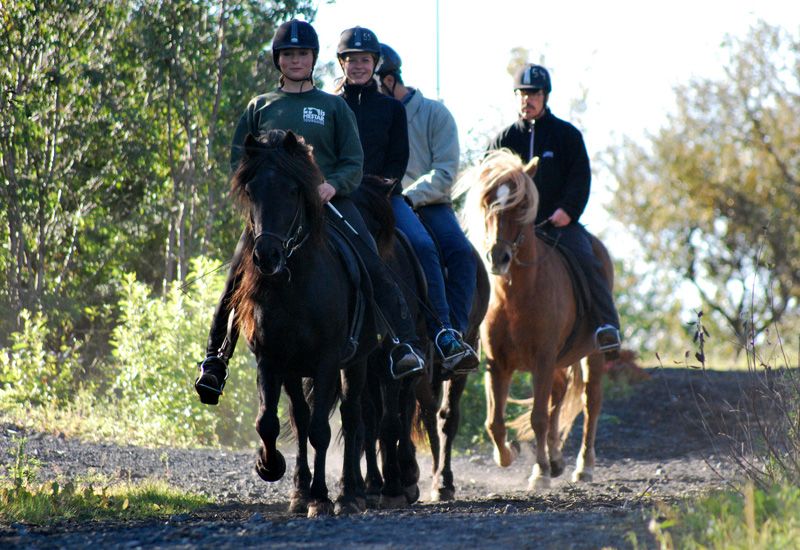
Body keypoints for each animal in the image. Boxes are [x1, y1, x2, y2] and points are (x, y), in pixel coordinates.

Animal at [456, 149, 612, 490]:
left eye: (520, 206)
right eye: (487, 203)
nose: (497, 258)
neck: (517, 295)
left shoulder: (542, 358)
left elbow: (537, 417)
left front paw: (539, 472)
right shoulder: (498, 364)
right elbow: (494, 422)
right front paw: (510, 454)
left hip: (591, 355)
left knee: (590, 402)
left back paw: (583, 466)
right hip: (557, 362)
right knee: (558, 396)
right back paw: (555, 459)